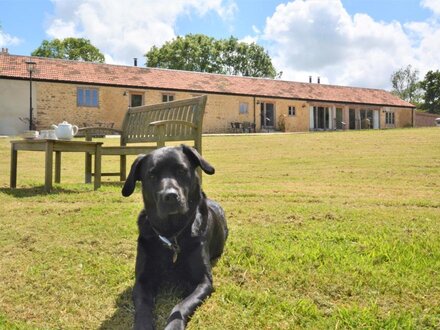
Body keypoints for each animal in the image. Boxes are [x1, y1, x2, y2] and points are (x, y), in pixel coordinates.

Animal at [122, 146, 229, 328]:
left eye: (181, 170)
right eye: (152, 175)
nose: (170, 196)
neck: (171, 233)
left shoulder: (203, 281)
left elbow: (181, 306)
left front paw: (174, 325)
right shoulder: (142, 280)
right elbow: (143, 305)